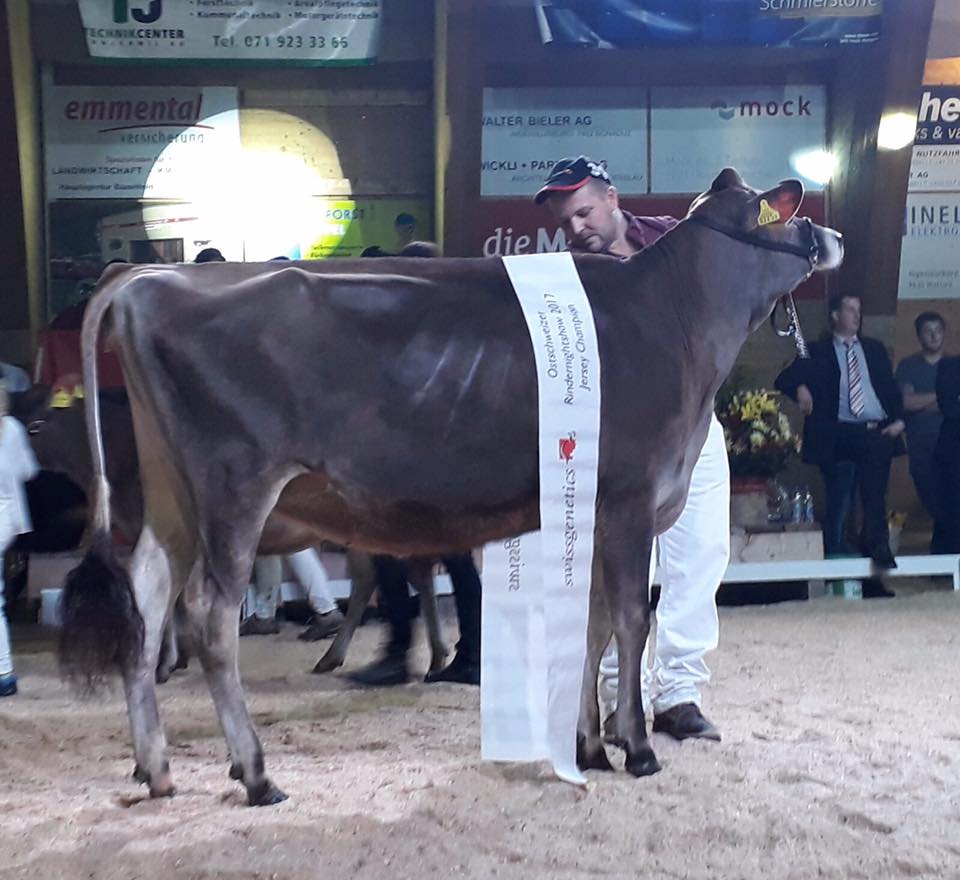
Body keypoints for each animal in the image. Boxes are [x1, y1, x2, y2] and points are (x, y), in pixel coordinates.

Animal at [60, 168, 842, 805]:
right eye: (783, 207)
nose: (832, 235)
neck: (674, 318)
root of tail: (146, 281)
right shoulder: (629, 498)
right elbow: (627, 620)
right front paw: (639, 748)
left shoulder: (593, 508)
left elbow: (591, 626)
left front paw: (589, 744)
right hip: (232, 486)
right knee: (209, 616)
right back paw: (255, 773)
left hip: (172, 498)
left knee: (147, 600)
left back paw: (156, 768)